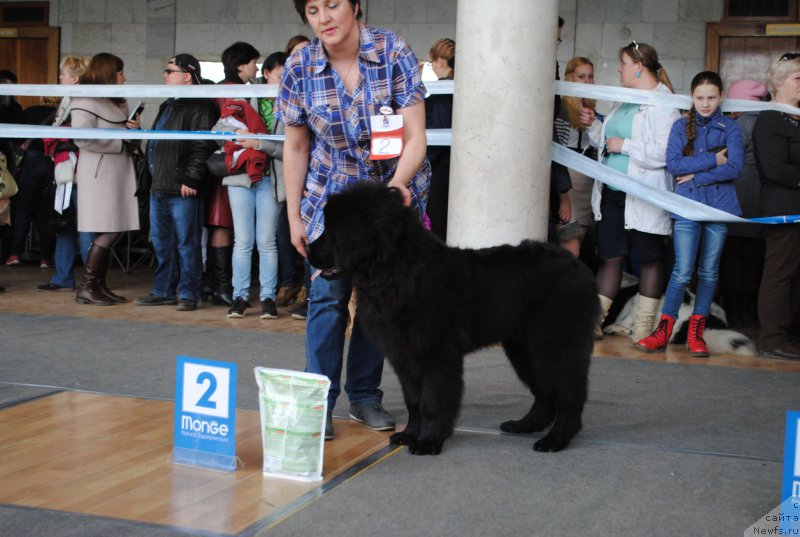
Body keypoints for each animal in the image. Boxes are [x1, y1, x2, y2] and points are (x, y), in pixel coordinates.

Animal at [310, 183, 596, 452]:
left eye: (331, 232)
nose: (307, 248)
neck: (398, 271)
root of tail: (577, 265)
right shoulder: (405, 357)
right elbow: (414, 401)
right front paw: (409, 434)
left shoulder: (437, 357)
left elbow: (432, 403)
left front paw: (428, 442)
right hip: (523, 350)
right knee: (544, 395)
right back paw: (523, 425)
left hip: (555, 345)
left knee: (568, 397)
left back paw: (555, 440)